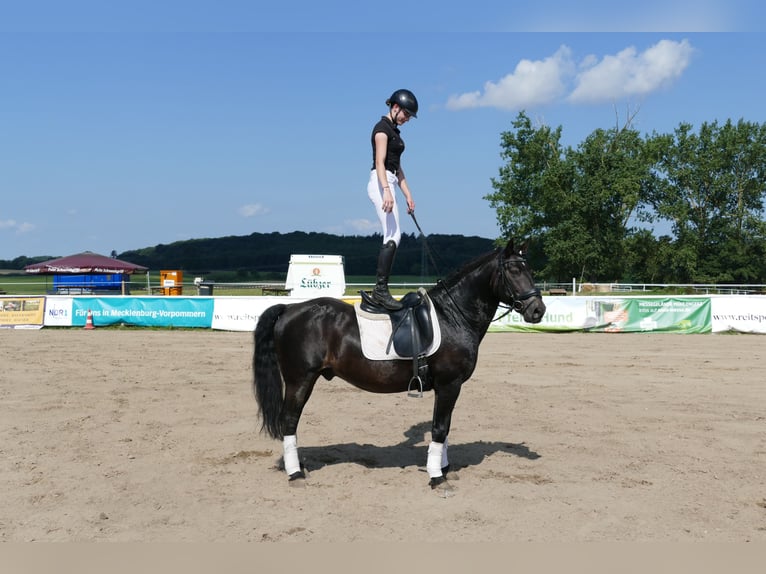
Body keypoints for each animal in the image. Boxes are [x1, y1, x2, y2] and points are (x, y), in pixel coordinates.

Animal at [255, 241, 548, 488]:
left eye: (529, 269)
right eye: (513, 269)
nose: (538, 310)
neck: (453, 316)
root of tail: (289, 309)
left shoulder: (446, 388)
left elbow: (444, 427)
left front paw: (444, 467)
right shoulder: (450, 384)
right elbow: (440, 428)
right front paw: (437, 477)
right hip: (300, 380)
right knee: (289, 421)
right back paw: (295, 473)